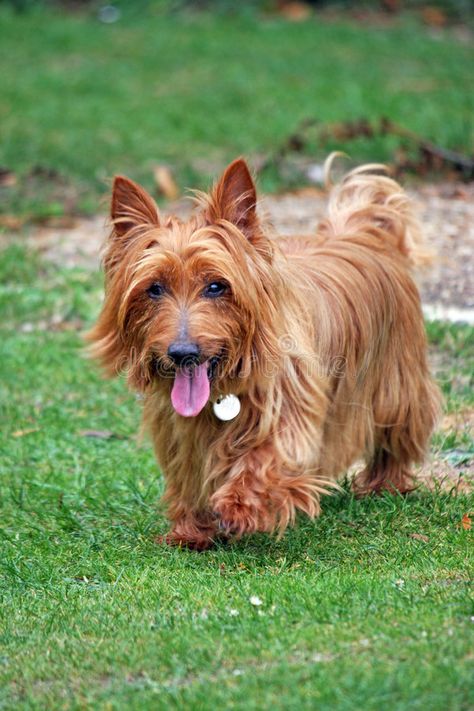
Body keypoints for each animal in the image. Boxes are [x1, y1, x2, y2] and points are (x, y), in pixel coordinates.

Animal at [88, 159, 440, 552]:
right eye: (154, 289)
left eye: (216, 286)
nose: (182, 353)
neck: (224, 386)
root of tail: (362, 232)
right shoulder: (179, 432)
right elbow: (189, 474)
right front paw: (191, 530)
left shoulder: (292, 412)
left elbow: (266, 457)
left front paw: (239, 505)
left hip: (396, 381)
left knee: (397, 434)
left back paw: (384, 484)